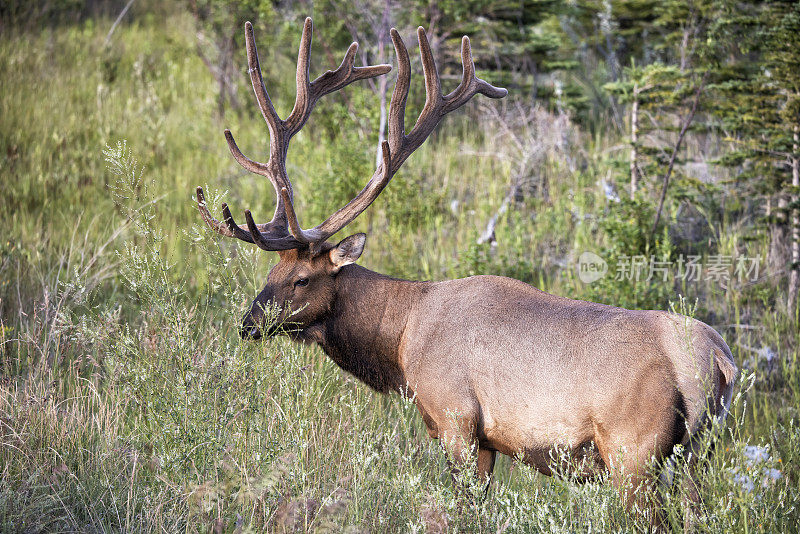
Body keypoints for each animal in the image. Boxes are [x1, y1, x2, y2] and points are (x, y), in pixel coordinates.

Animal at [195, 17, 736, 528]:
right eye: (271, 270)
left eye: (302, 279)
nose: (248, 323)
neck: (402, 342)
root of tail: (717, 359)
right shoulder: (488, 440)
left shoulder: (456, 416)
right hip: (698, 455)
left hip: (634, 451)